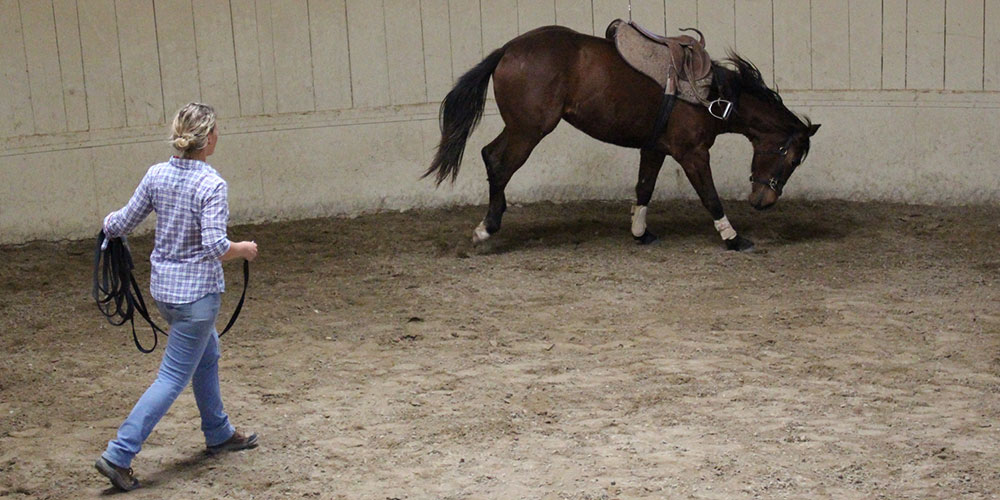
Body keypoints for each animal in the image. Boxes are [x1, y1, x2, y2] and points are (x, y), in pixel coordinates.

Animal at [422, 24, 820, 250]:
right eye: (790, 156)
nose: (764, 201)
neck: (713, 95)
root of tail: (507, 50)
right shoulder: (692, 153)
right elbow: (710, 197)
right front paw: (733, 238)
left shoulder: (656, 148)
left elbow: (644, 188)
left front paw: (641, 232)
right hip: (529, 130)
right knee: (500, 164)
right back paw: (486, 229)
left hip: (521, 128)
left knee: (490, 156)